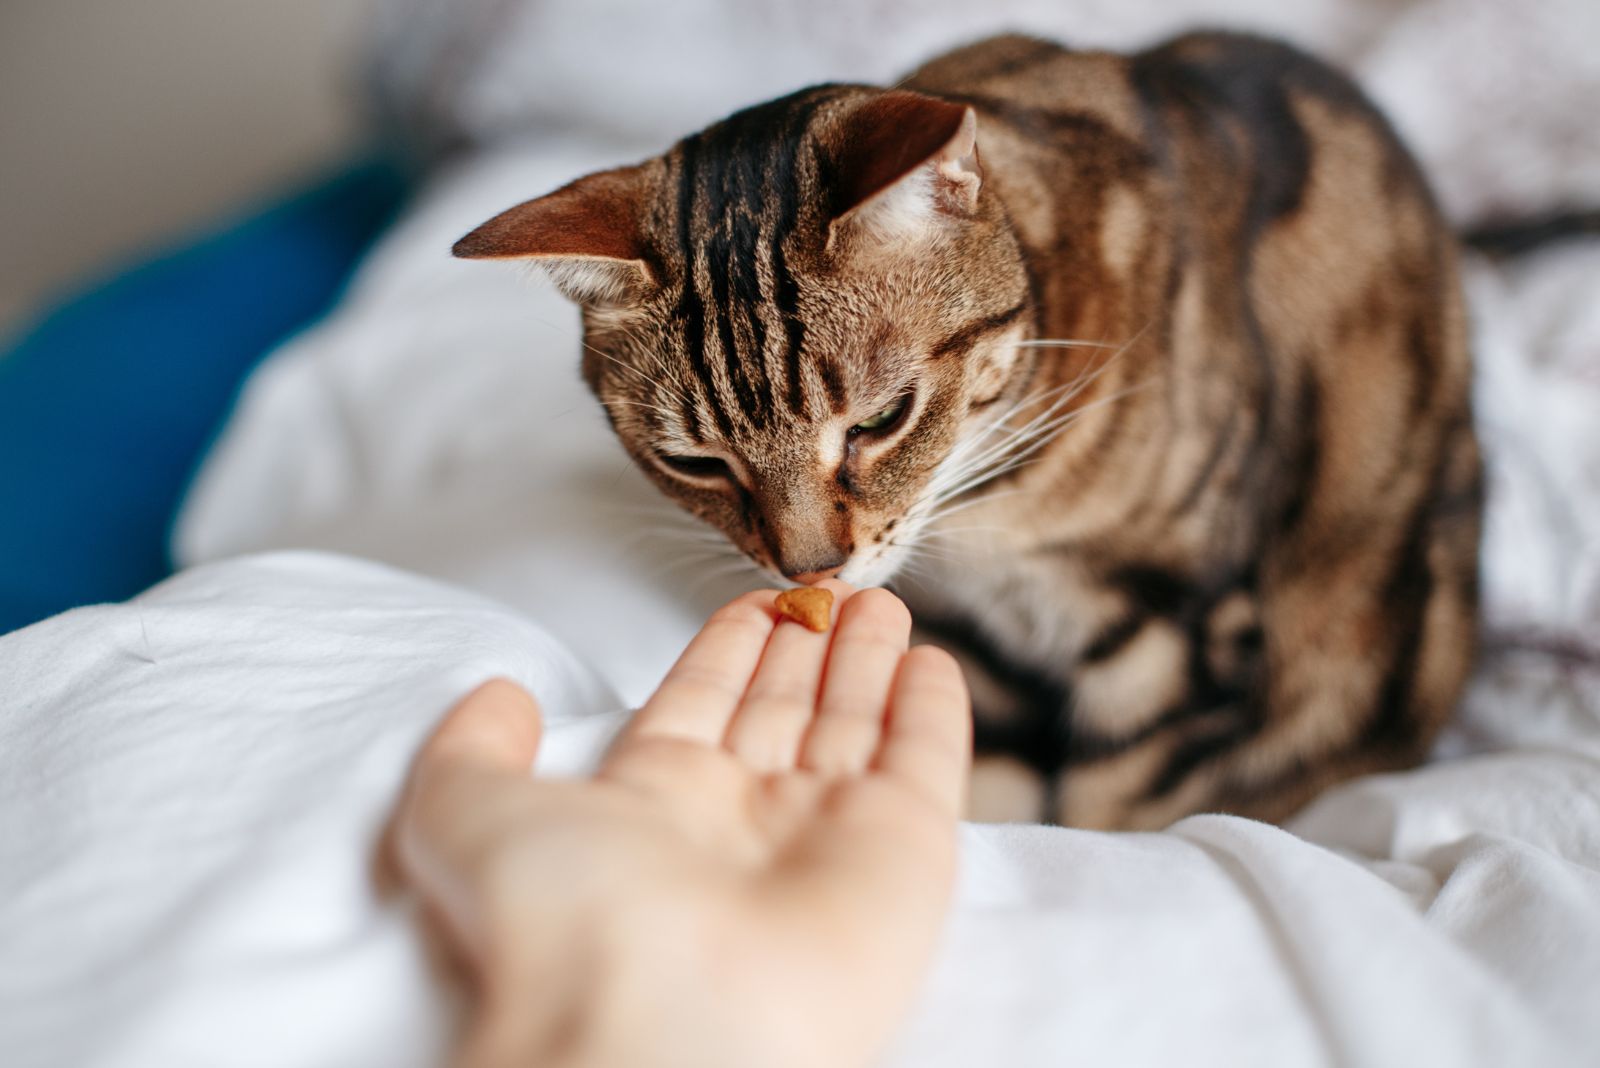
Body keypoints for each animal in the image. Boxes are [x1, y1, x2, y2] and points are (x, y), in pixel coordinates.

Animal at [457, 33, 1478, 831]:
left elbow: (1111, 811)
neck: (990, 519)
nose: (810, 569)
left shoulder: (1176, 638)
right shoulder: (974, 651)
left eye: (881, 419)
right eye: (692, 462)